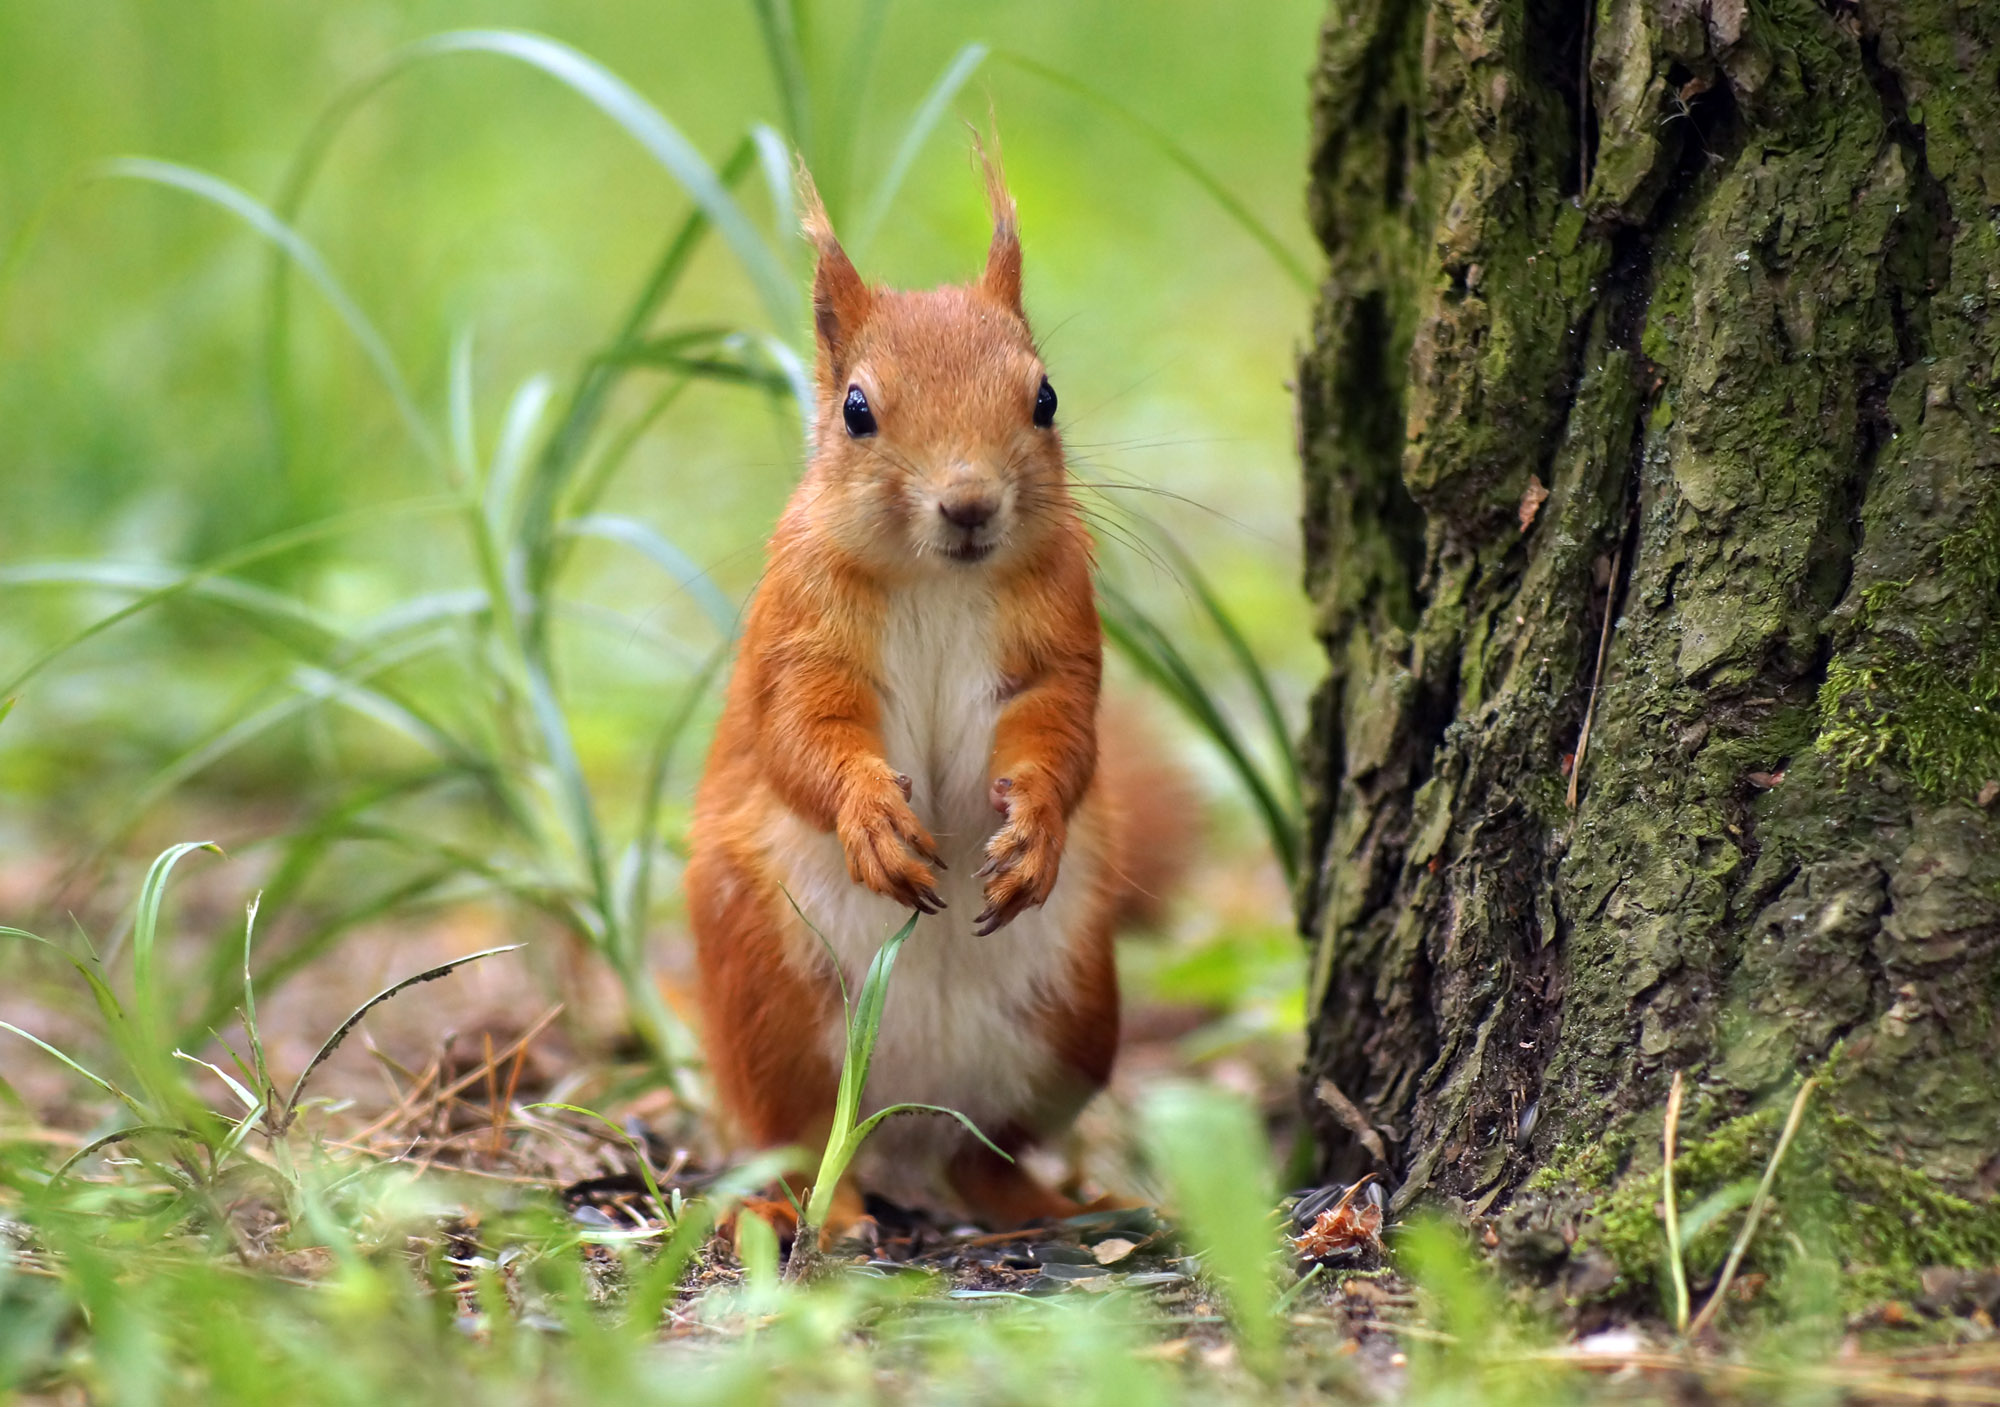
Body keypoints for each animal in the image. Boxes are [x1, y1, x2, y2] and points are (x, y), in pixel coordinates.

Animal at [688, 156, 1184, 1231]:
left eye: (1045, 397)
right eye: (856, 410)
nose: (968, 503)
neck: (936, 579)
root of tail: (905, 1121)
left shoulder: (1056, 644)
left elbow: (1061, 733)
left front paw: (1032, 827)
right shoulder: (796, 638)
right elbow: (800, 735)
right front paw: (872, 818)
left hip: (1073, 1020)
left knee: (985, 1153)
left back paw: (1052, 1205)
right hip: (767, 1002)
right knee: (798, 1140)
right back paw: (822, 1210)